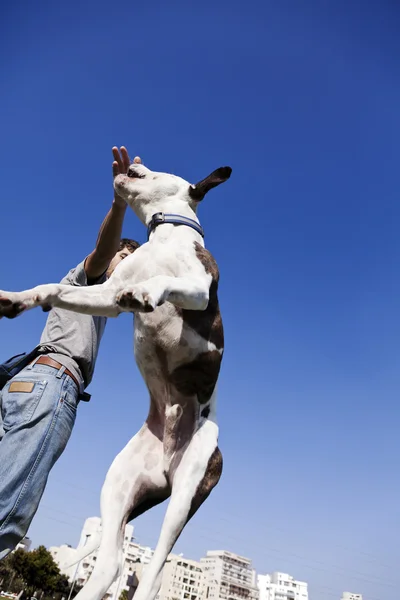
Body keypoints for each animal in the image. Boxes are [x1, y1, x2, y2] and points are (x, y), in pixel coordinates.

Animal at [0, 159, 231, 600]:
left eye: (158, 171)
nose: (134, 162)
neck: (166, 237)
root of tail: (167, 458)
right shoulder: (107, 295)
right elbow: (54, 289)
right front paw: (17, 298)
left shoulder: (197, 288)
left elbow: (164, 283)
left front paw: (146, 294)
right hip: (118, 488)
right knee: (109, 565)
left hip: (185, 496)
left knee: (153, 576)